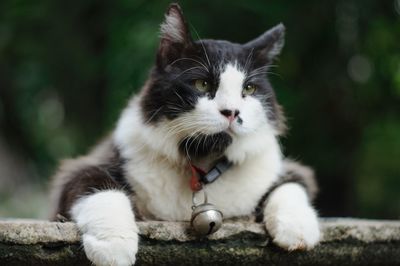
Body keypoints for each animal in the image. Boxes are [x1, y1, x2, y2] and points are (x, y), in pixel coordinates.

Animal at [50, 2, 320, 266]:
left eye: (249, 89)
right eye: (201, 84)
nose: (232, 112)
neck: (202, 163)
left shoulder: (286, 169)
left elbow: (290, 186)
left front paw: (298, 230)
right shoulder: (80, 169)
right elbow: (102, 189)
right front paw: (114, 245)